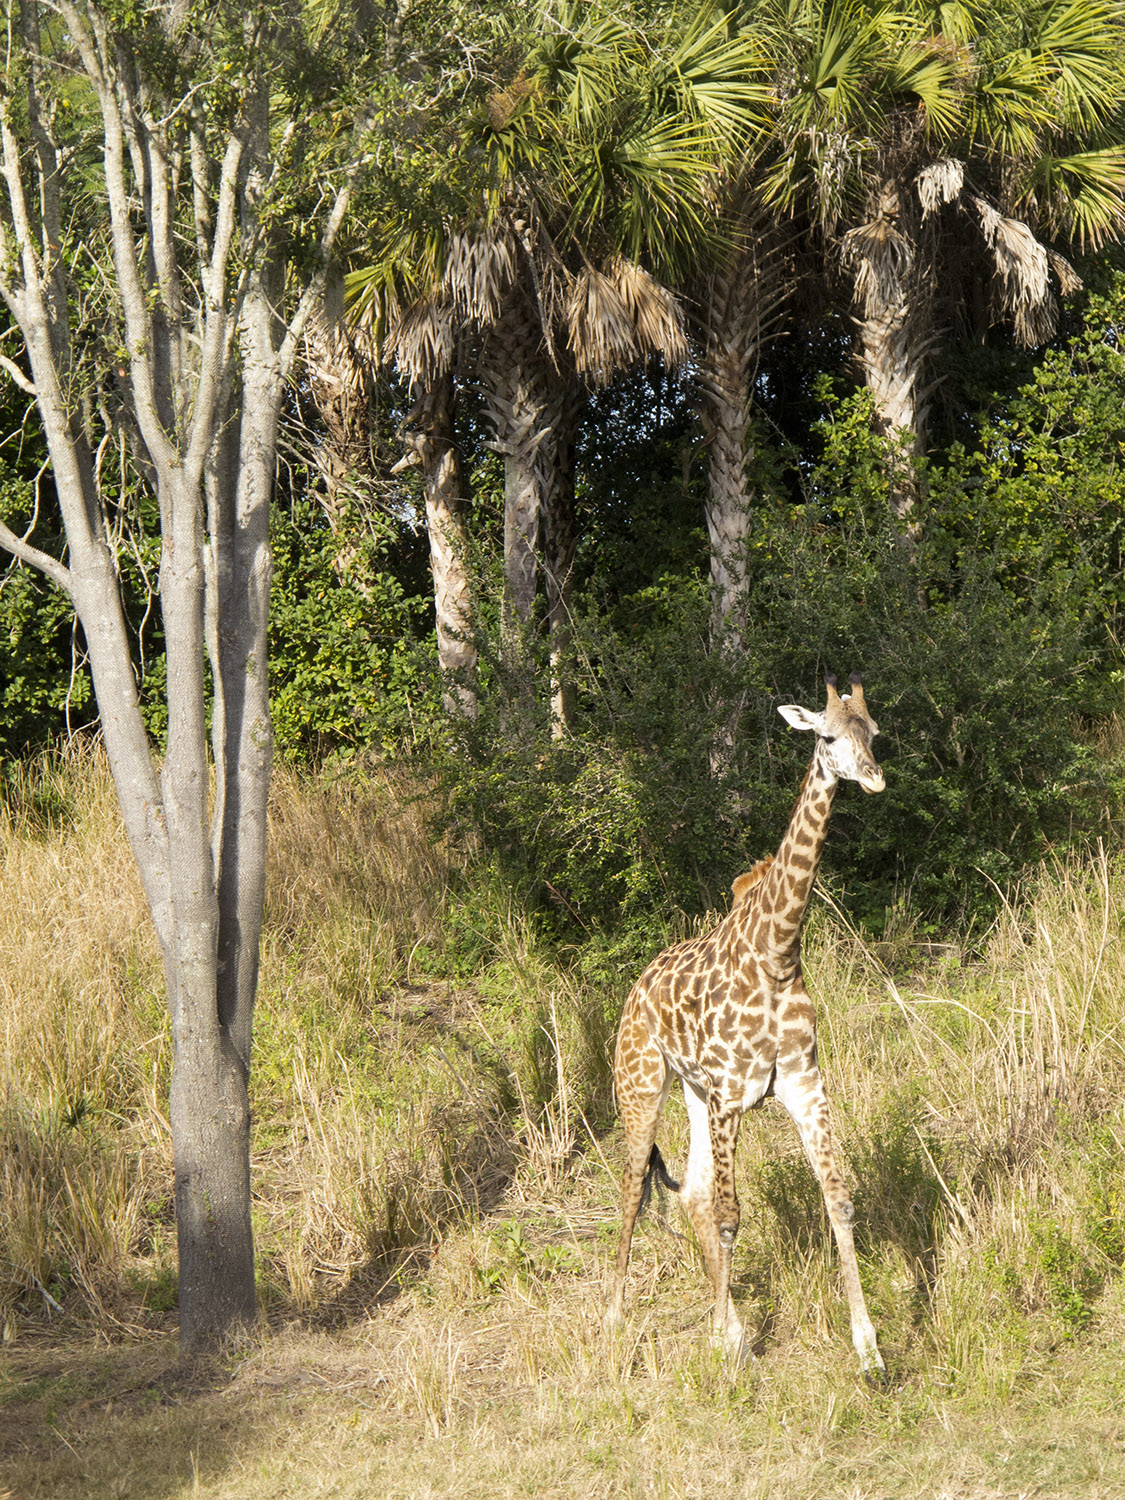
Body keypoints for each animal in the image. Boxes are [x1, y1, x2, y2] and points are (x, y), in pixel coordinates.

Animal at [609, 675, 888, 1374]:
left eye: (875, 733)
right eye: (826, 736)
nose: (874, 779)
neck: (777, 951)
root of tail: (634, 991)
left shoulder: (802, 1084)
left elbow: (839, 1195)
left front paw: (868, 1351)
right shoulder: (734, 1094)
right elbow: (732, 1215)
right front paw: (724, 1351)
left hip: (692, 1091)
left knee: (689, 1192)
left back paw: (727, 1322)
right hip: (641, 1085)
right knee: (634, 1186)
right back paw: (614, 1321)